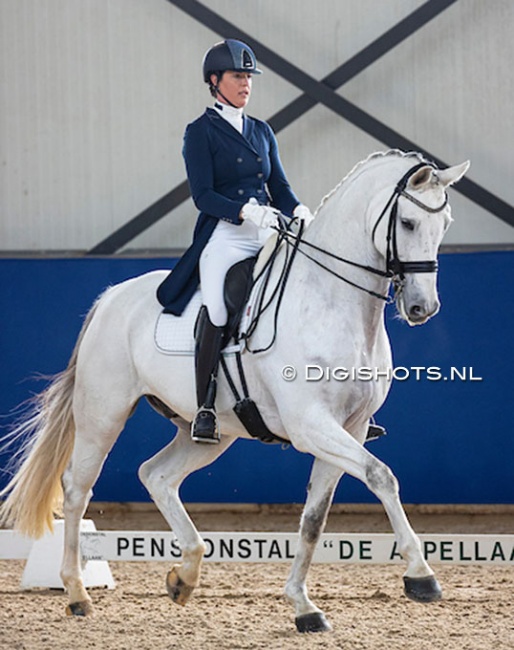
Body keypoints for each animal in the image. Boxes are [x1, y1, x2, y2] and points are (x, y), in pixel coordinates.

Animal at [0, 151, 468, 628]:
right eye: (408, 223)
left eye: (446, 223)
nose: (422, 307)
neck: (331, 301)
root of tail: (110, 297)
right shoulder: (311, 426)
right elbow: (381, 476)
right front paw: (421, 576)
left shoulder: (349, 428)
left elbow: (314, 519)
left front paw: (303, 606)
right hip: (103, 415)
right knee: (78, 488)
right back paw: (77, 592)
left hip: (209, 431)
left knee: (156, 475)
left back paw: (184, 577)